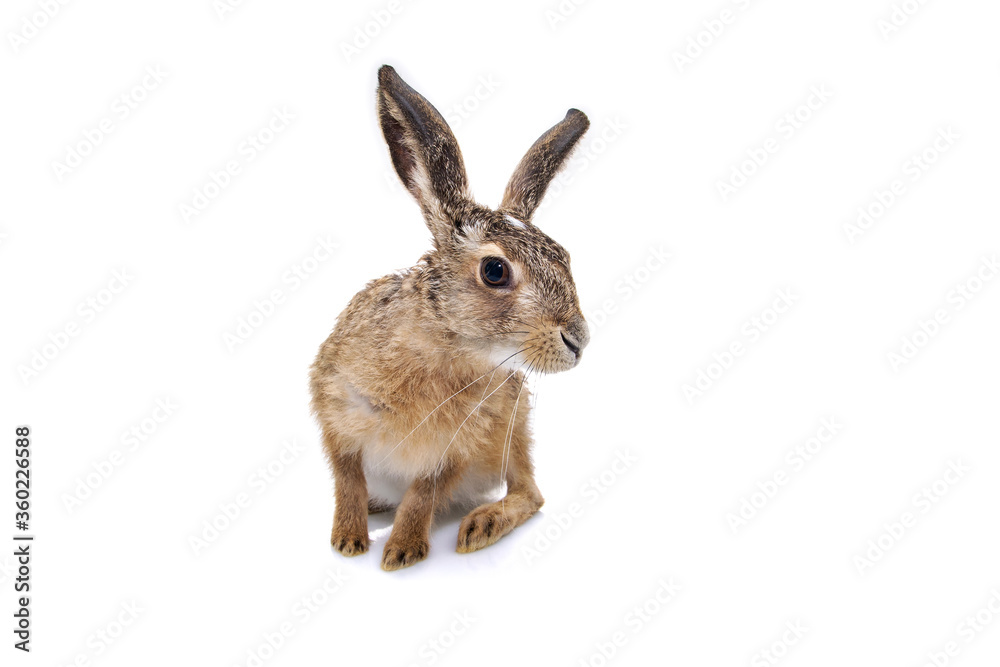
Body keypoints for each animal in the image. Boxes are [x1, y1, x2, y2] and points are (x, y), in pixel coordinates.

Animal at [310, 65, 591, 571]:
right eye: (495, 271)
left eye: (564, 258)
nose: (579, 340)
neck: (442, 344)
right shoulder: (336, 419)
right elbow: (347, 482)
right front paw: (348, 540)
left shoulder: (454, 449)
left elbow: (423, 496)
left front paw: (401, 552)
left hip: (513, 431)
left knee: (530, 492)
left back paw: (482, 525)